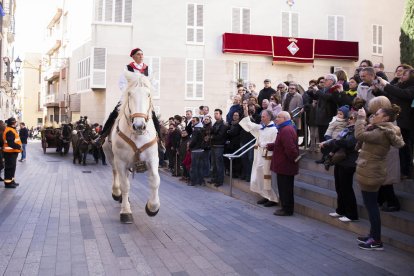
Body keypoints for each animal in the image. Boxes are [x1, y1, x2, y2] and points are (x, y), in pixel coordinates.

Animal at [103, 70, 160, 223]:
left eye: (148, 94)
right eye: (129, 94)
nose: (139, 125)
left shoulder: (153, 159)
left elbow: (155, 181)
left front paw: (152, 208)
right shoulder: (121, 161)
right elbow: (125, 185)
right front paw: (125, 211)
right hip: (111, 157)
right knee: (116, 174)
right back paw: (117, 194)